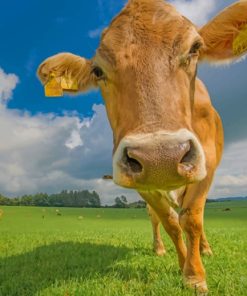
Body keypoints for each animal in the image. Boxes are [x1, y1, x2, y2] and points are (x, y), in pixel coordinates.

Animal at [37, 0, 247, 292]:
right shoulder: (142, 184)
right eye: (97, 71)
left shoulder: (208, 164)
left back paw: (205, 249)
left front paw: (195, 276)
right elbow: (171, 223)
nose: (160, 157)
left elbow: (192, 218)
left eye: (195, 48)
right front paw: (183, 266)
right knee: (157, 218)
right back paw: (160, 248)